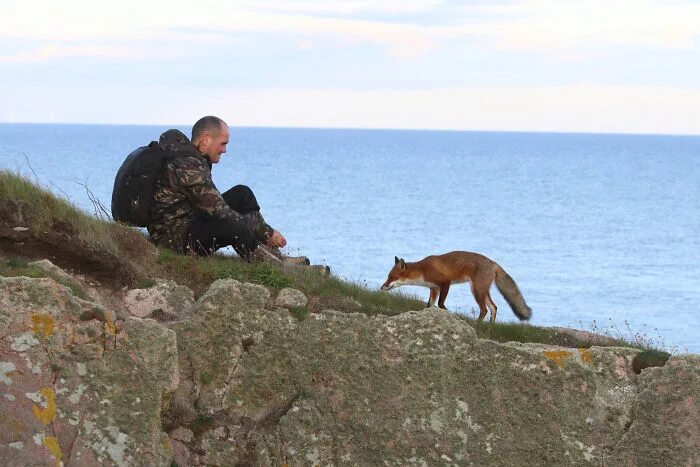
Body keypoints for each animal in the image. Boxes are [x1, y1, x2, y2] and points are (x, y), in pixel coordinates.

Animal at [382, 250, 532, 324]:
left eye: (391, 277)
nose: (381, 287)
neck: (422, 270)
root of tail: (493, 263)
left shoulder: (445, 283)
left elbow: (441, 304)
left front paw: (449, 314)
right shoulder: (434, 289)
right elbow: (429, 305)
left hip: (476, 291)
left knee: (484, 309)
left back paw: (477, 323)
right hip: (481, 291)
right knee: (493, 307)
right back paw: (491, 326)